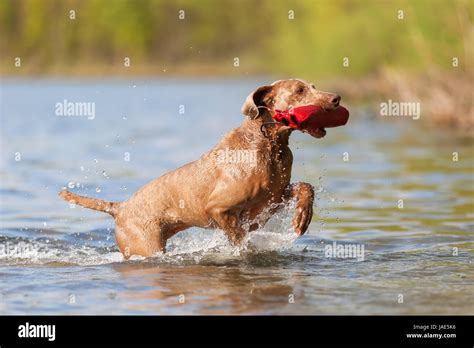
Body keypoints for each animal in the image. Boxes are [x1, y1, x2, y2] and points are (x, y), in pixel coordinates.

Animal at [59, 79, 348, 258]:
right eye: (299, 90)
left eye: (313, 86)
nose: (336, 98)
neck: (266, 142)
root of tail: (120, 207)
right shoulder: (219, 208)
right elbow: (239, 237)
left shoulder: (274, 197)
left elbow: (305, 187)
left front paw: (302, 217)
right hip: (145, 245)